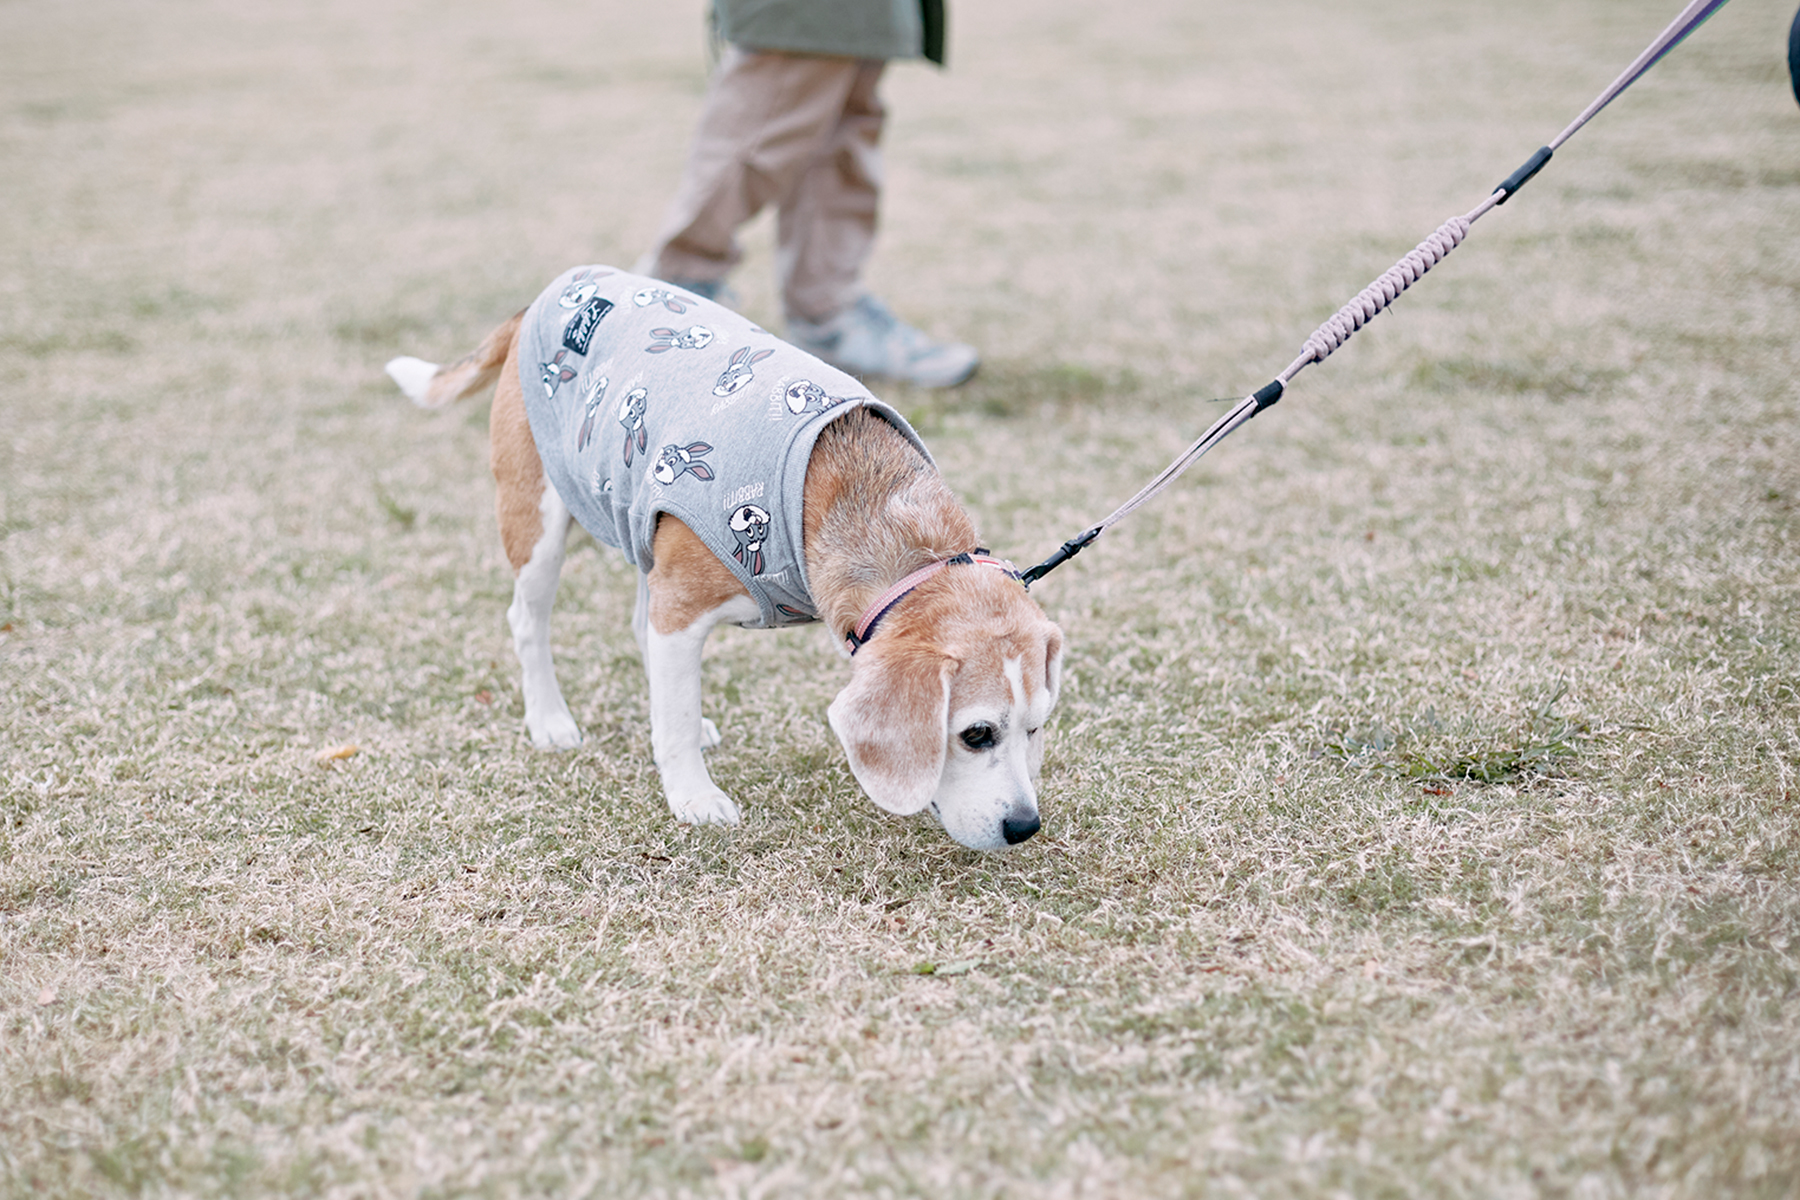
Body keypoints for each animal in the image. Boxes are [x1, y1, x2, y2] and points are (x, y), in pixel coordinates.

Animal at [387, 271, 1058, 852]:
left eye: (1036, 727)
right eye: (975, 735)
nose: (1025, 827)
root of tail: (550, 294)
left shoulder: (673, 597)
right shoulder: (682, 605)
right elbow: (677, 714)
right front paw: (693, 797)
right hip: (540, 518)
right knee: (529, 620)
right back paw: (550, 720)